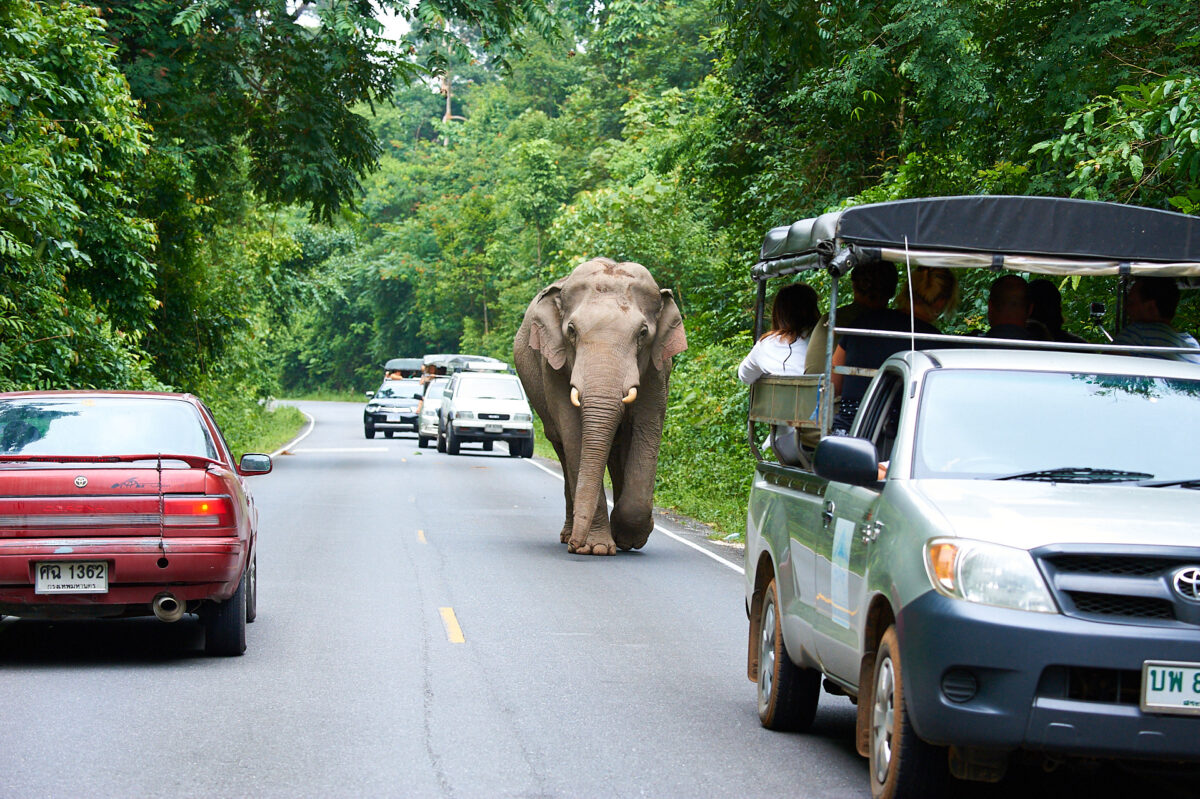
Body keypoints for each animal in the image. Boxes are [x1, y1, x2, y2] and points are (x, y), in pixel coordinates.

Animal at [513, 258, 687, 555]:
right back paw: (569, 535)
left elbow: (646, 430)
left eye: (643, 333)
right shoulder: (553, 366)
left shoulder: (658, 369)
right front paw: (596, 548)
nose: (576, 546)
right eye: (571, 331)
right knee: (563, 449)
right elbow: (575, 434)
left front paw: (630, 538)